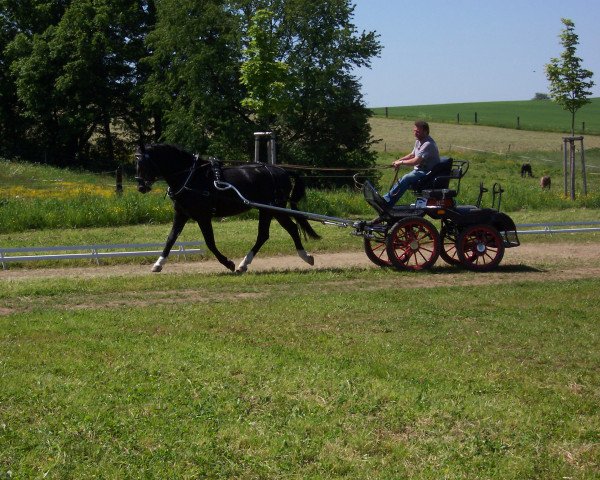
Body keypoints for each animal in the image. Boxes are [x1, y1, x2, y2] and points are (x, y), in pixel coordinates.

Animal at [134, 143, 322, 274]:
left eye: (143, 163)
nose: (141, 187)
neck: (192, 176)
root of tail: (281, 170)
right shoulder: (181, 215)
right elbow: (170, 238)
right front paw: (158, 264)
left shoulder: (203, 217)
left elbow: (210, 242)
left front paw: (228, 263)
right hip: (269, 210)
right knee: (273, 233)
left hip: (273, 209)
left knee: (283, 230)